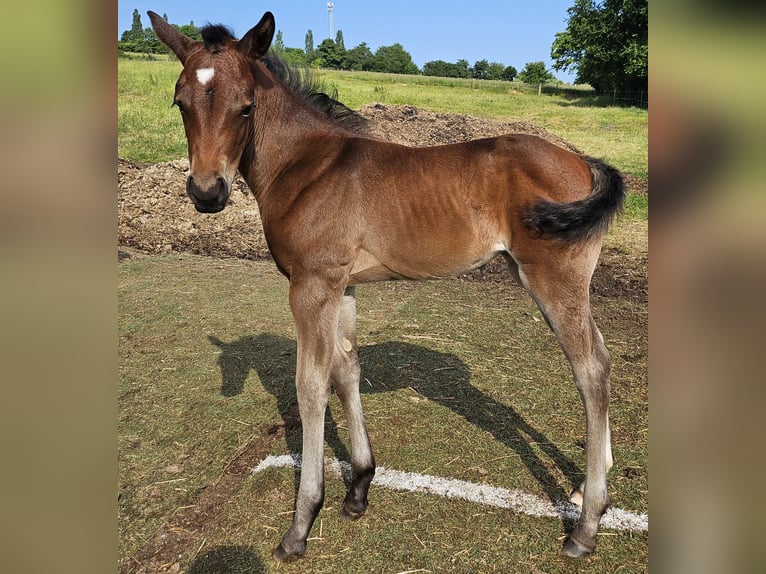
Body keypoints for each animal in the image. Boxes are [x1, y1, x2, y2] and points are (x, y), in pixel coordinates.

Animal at [148, 10, 625, 562]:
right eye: (180, 103)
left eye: (245, 106)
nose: (207, 193)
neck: (307, 167)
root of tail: (584, 162)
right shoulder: (343, 286)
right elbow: (346, 369)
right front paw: (358, 488)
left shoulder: (311, 285)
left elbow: (310, 386)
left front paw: (301, 523)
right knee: (602, 355)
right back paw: (589, 489)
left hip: (551, 279)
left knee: (591, 369)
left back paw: (586, 526)